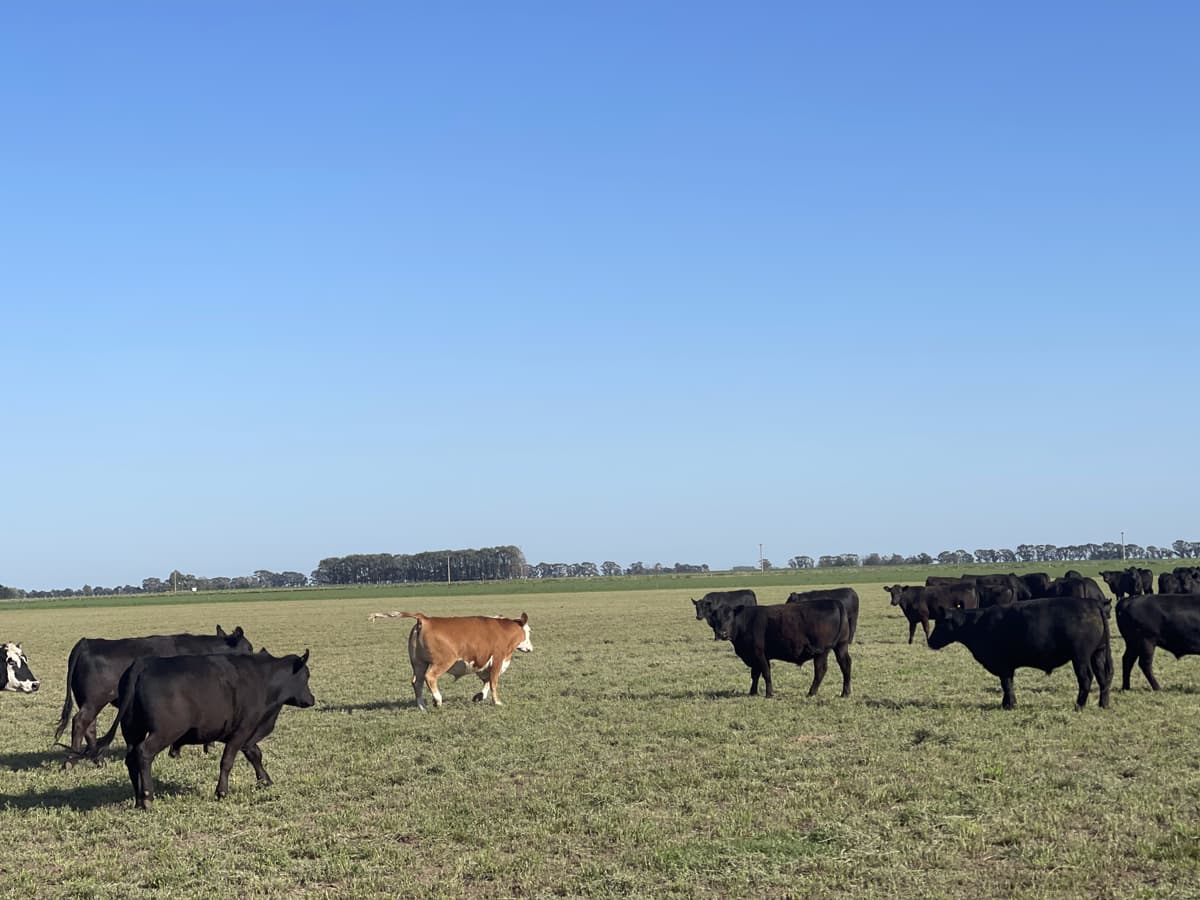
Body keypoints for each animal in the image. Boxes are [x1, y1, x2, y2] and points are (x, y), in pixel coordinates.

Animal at [56, 628, 255, 768]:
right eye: (249, 647)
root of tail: (86, 643)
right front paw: (179, 751)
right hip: (95, 700)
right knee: (80, 722)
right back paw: (71, 761)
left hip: (89, 701)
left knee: (90, 726)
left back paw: (97, 759)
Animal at [85, 648, 314, 811]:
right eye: (306, 675)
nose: (311, 700)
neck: (263, 679)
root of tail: (143, 664)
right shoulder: (243, 730)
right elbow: (227, 761)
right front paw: (222, 792)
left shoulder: (247, 734)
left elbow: (255, 754)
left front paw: (265, 780)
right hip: (164, 732)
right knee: (143, 754)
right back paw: (148, 798)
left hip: (132, 731)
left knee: (131, 759)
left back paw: (138, 798)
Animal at [367, 614, 532, 710]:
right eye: (529, 631)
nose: (531, 648)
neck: (503, 630)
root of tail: (425, 619)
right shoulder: (497, 660)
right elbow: (493, 683)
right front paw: (497, 702)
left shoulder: (482, 664)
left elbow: (487, 682)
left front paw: (479, 696)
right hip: (443, 662)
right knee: (430, 677)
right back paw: (437, 700)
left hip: (419, 663)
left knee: (417, 682)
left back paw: (422, 706)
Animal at [710, 602, 854, 700]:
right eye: (716, 619)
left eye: (730, 617)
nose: (722, 633)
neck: (746, 622)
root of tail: (834, 602)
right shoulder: (756, 656)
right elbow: (755, 674)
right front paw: (752, 692)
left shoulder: (759, 653)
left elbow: (766, 673)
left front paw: (769, 694)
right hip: (841, 646)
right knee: (845, 665)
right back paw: (845, 693)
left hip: (821, 651)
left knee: (821, 670)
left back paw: (811, 693)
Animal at [926, 600, 1113, 710]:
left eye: (939, 623)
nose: (930, 641)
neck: (976, 623)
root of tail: (1093, 604)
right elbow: (1008, 684)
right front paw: (1006, 703)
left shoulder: (1002, 664)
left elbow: (1006, 684)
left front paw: (1010, 705)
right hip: (1098, 653)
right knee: (1103, 678)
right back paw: (1103, 704)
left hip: (1080, 657)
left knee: (1086, 678)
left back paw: (1079, 706)